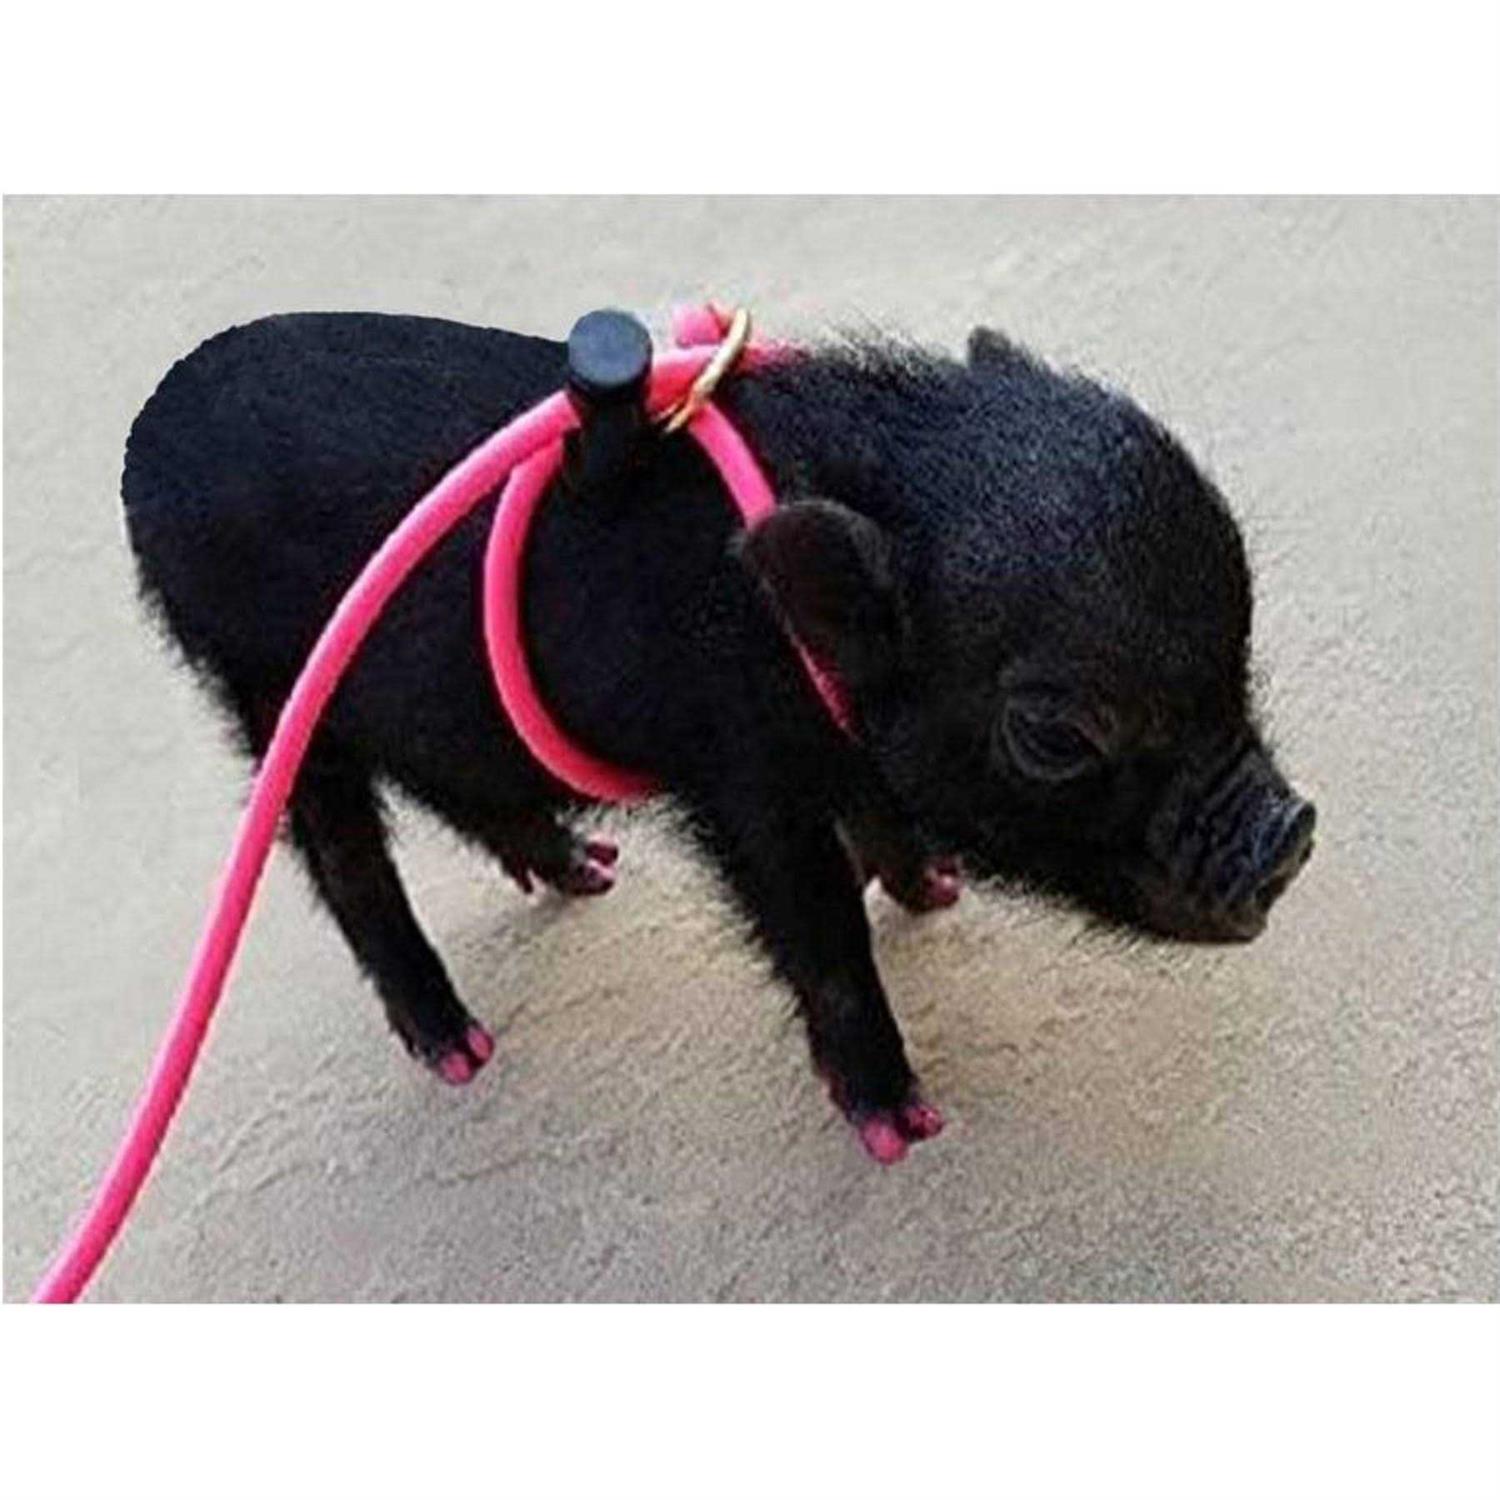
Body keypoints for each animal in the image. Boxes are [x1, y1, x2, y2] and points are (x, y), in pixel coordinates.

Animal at [121, 311, 1316, 1164]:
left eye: (1238, 638)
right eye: (1056, 735)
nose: (1290, 829)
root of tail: (146, 433)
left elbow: (878, 818)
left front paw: (932, 890)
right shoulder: (740, 782)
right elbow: (820, 932)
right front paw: (907, 1130)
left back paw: (586, 870)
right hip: (267, 691)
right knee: (342, 854)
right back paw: (462, 1052)